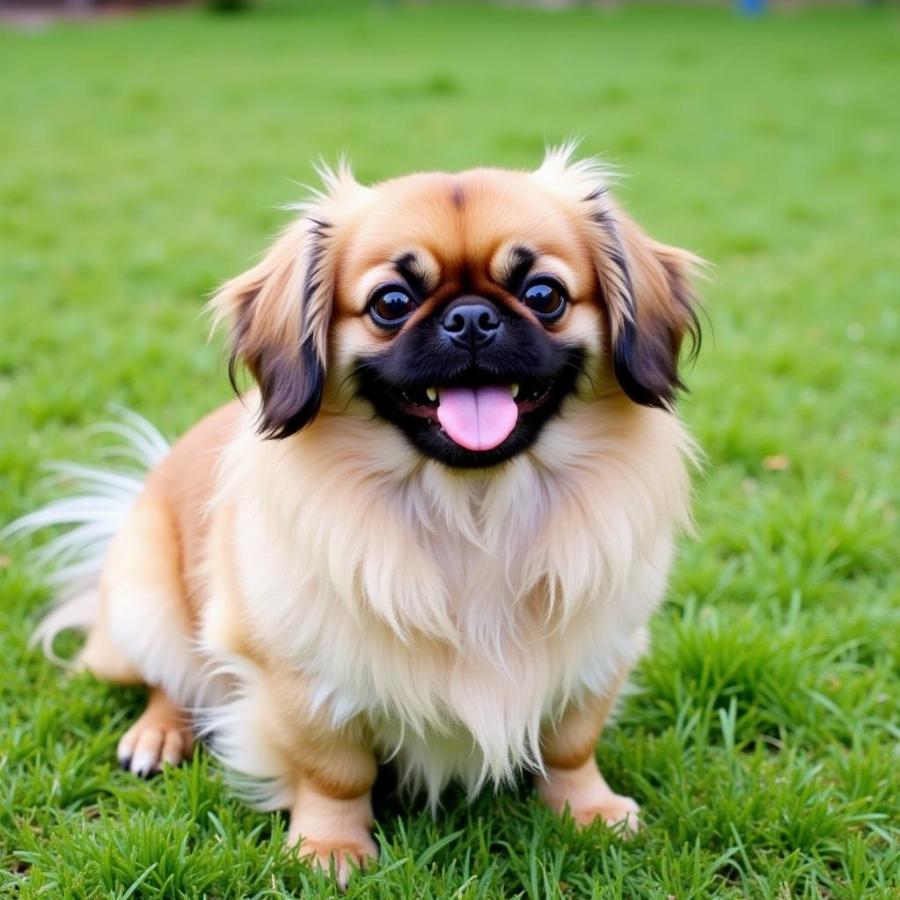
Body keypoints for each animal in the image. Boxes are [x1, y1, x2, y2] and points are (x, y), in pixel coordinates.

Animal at [10, 144, 708, 884]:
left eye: (543, 295)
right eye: (391, 304)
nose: (470, 319)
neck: (474, 509)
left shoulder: (600, 650)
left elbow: (573, 745)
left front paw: (590, 811)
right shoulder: (302, 676)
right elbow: (334, 772)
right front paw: (331, 848)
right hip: (149, 603)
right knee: (171, 677)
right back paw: (157, 736)